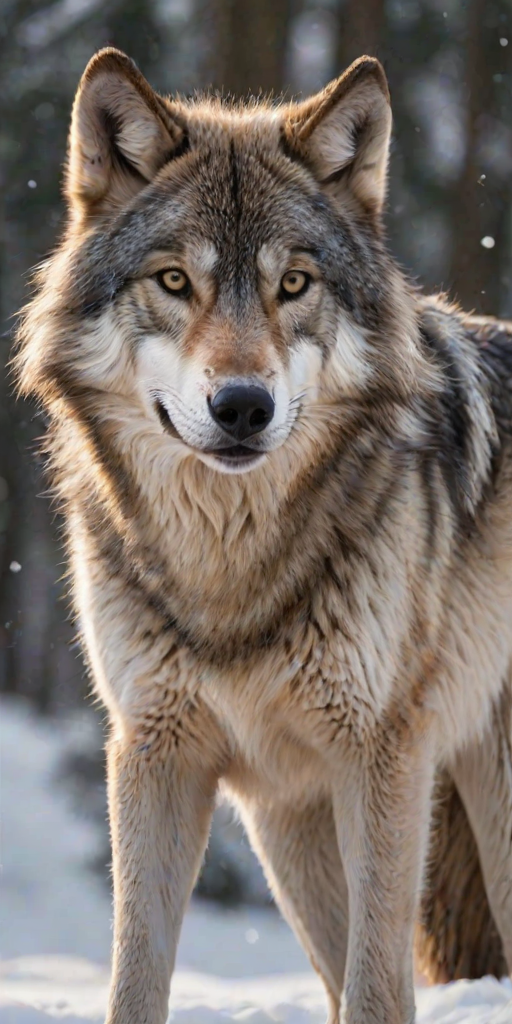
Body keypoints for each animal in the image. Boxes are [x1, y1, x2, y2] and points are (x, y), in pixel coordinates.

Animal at [16, 47, 512, 1024]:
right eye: (176, 281)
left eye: (294, 284)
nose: (242, 406)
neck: (230, 573)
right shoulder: (155, 752)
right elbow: (135, 978)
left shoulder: (383, 757)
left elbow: (377, 990)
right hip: (291, 833)